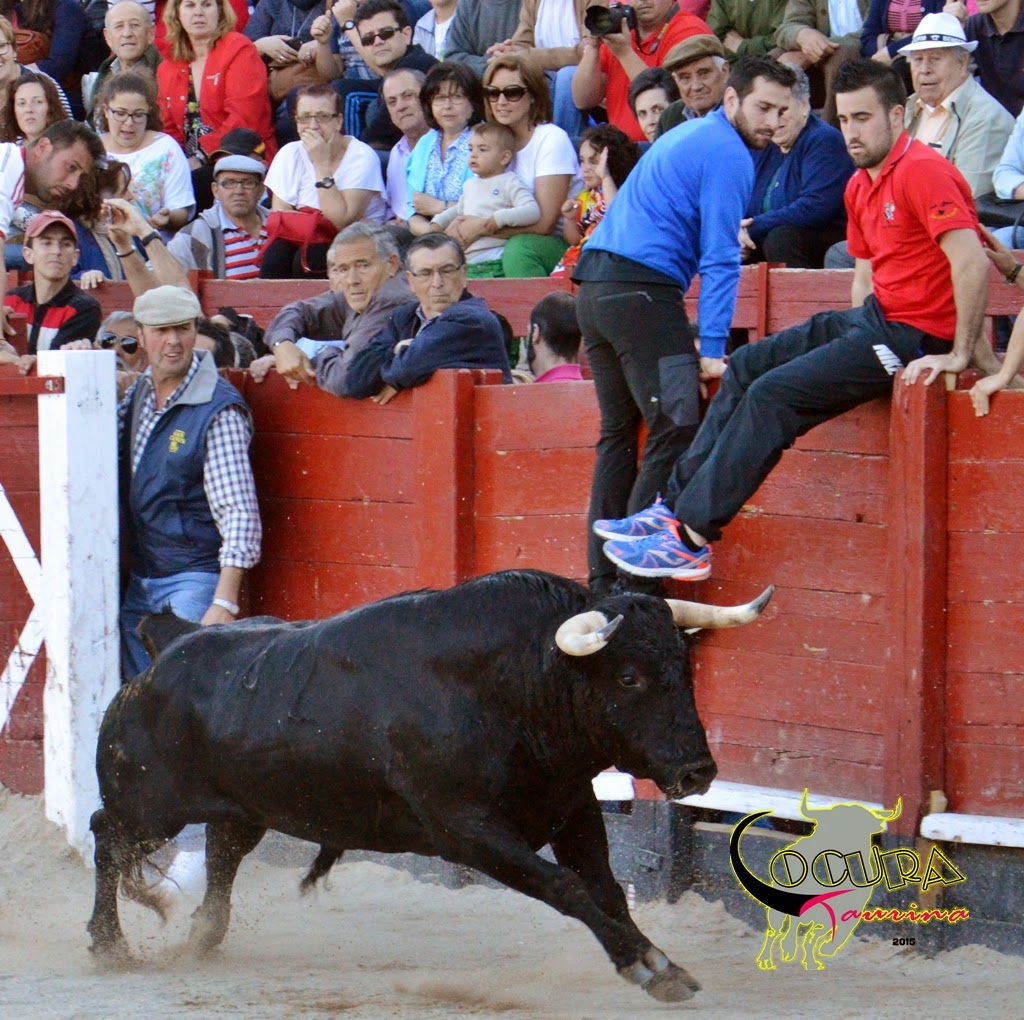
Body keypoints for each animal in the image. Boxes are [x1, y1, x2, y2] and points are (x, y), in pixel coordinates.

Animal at [87, 569, 773, 1002]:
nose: (697, 771)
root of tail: (165, 650)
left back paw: (202, 938)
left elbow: (606, 891)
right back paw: (109, 946)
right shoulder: (468, 830)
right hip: (150, 807)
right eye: (628, 676)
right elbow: (567, 888)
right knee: (106, 838)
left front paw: (660, 962)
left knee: (222, 855)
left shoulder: (574, 807)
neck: (513, 687)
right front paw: (641, 965)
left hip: (245, 809)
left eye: (683, 667)